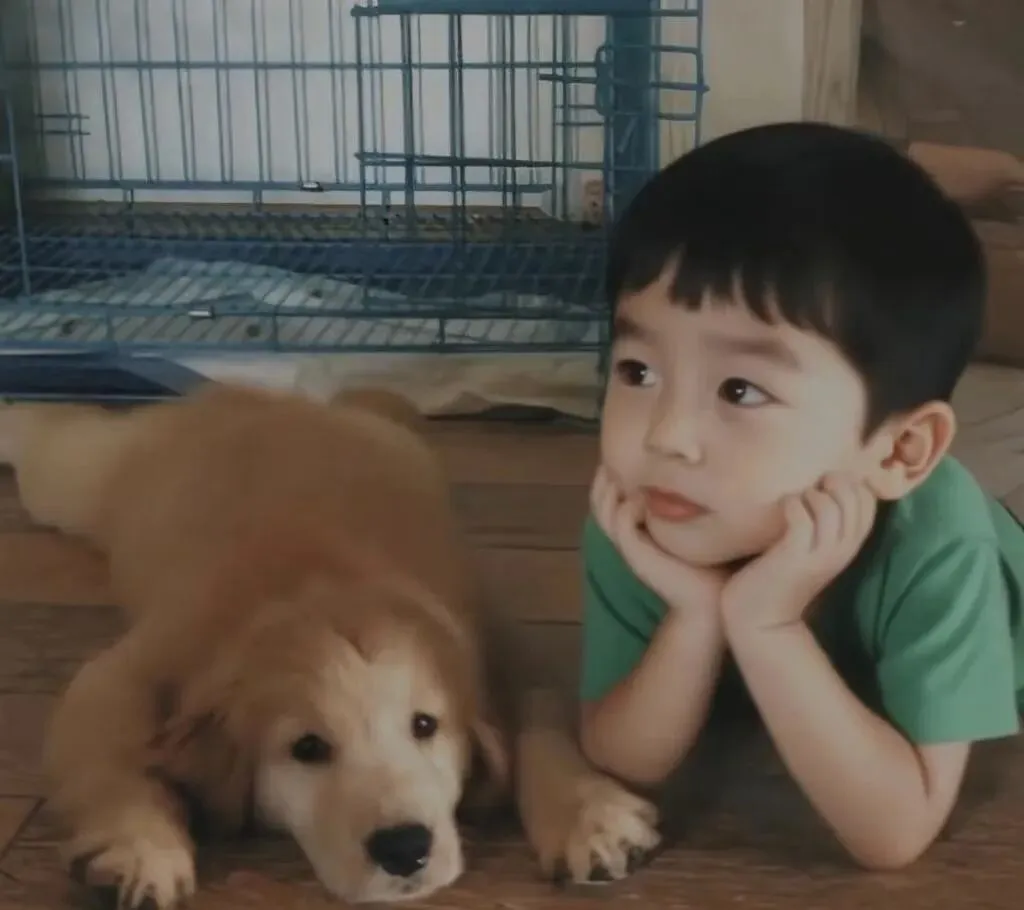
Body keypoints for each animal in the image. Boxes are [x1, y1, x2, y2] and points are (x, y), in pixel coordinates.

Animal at [0, 383, 659, 908]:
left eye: (426, 725)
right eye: (307, 748)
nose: (405, 849)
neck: (328, 583)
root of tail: (265, 396)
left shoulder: (492, 635)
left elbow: (542, 717)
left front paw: (589, 814)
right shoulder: (139, 664)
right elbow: (108, 746)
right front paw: (139, 847)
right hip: (84, 478)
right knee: (60, 438)